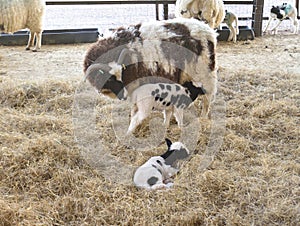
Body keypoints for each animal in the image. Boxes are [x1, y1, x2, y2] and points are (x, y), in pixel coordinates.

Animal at [84, 17, 218, 118]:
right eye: (110, 78)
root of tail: (208, 30)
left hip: (205, 73)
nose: (123, 96)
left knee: (208, 96)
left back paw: (203, 116)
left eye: (120, 74)